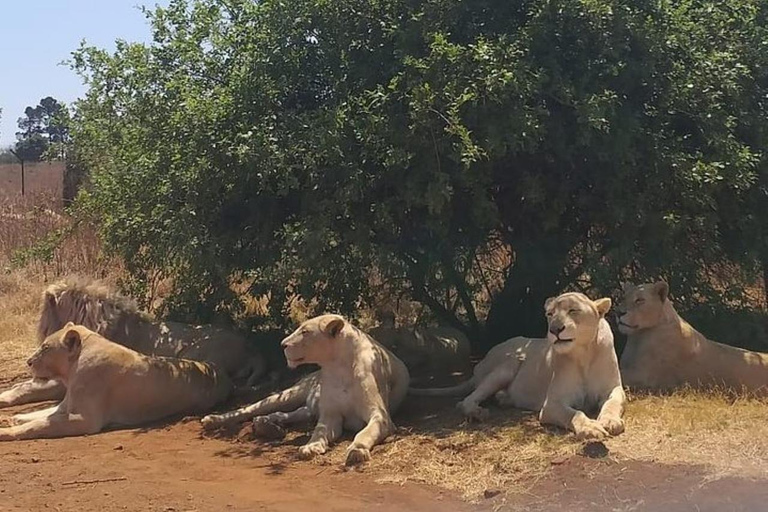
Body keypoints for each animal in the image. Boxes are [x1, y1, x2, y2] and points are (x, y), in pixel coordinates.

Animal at [0, 323, 232, 440]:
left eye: (46, 347)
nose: (29, 362)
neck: (72, 369)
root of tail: (217, 373)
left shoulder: (85, 419)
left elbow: (38, 425)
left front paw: (7, 431)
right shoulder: (67, 406)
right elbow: (40, 414)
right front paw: (15, 418)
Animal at [203, 314, 410, 465]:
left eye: (305, 331)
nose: (282, 344)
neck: (338, 367)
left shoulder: (380, 416)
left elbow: (365, 432)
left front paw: (357, 451)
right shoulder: (331, 415)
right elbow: (319, 432)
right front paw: (311, 447)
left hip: (308, 408)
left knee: (288, 414)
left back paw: (268, 423)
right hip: (289, 394)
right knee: (250, 408)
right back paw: (214, 419)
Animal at [410, 293, 626, 440]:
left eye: (573, 310)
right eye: (550, 314)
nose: (554, 330)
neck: (583, 354)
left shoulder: (614, 388)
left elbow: (613, 403)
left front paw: (609, 421)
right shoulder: (551, 404)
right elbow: (575, 413)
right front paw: (591, 427)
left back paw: (503, 399)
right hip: (511, 362)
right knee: (464, 401)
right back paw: (479, 412)